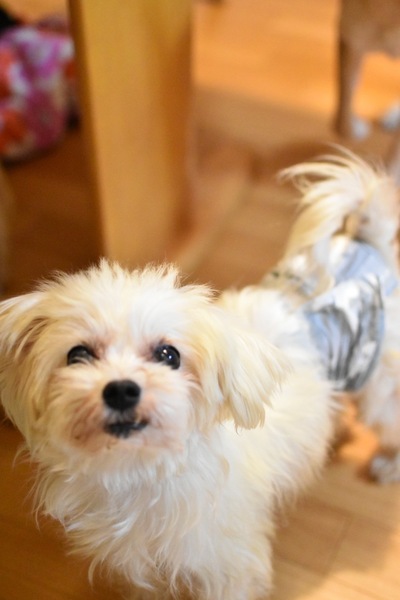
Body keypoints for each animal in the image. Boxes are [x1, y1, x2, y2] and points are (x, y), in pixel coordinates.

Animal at [0, 150, 399, 599]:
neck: (140, 472)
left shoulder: (227, 567)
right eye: (78, 354)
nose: (120, 390)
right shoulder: (143, 569)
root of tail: (365, 243)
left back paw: (388, 465)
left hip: (380, 384)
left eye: (169, 355)